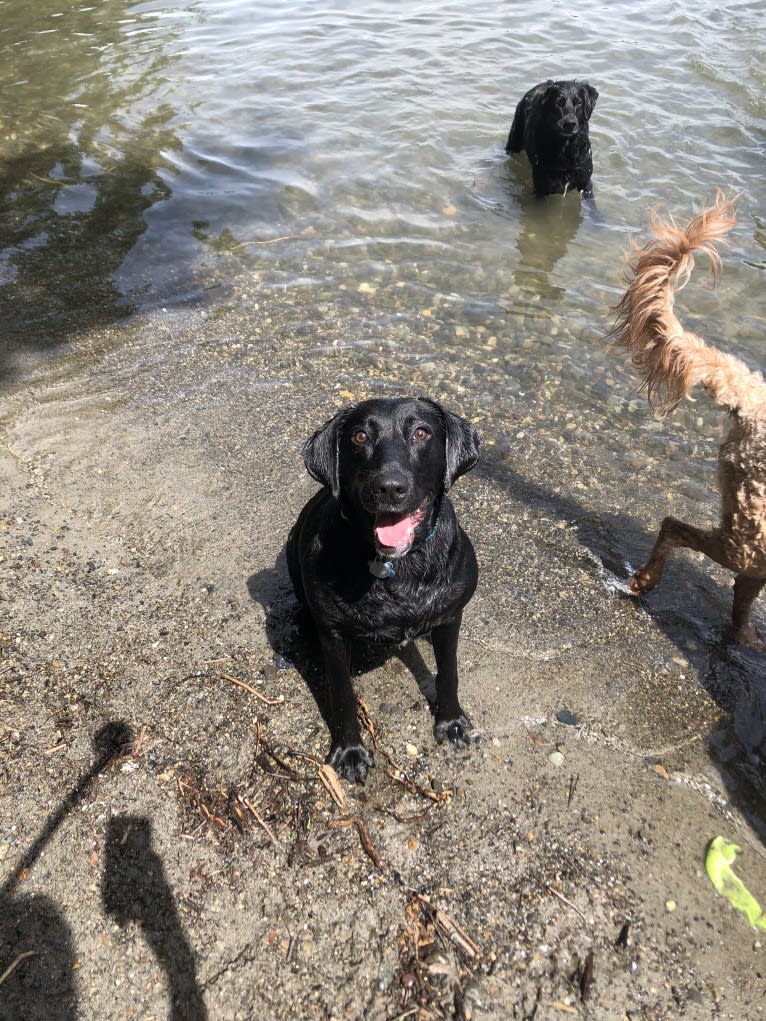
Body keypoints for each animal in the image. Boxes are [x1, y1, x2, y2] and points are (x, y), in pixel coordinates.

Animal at [288, 396, 480, 780]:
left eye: (421, 433)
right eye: (360, 436)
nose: (390, 486)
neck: (396, 566)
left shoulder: (450, 616)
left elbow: (448, 672)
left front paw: (450, 721)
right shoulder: (334, 636)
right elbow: (343, 695)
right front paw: (350, 751)